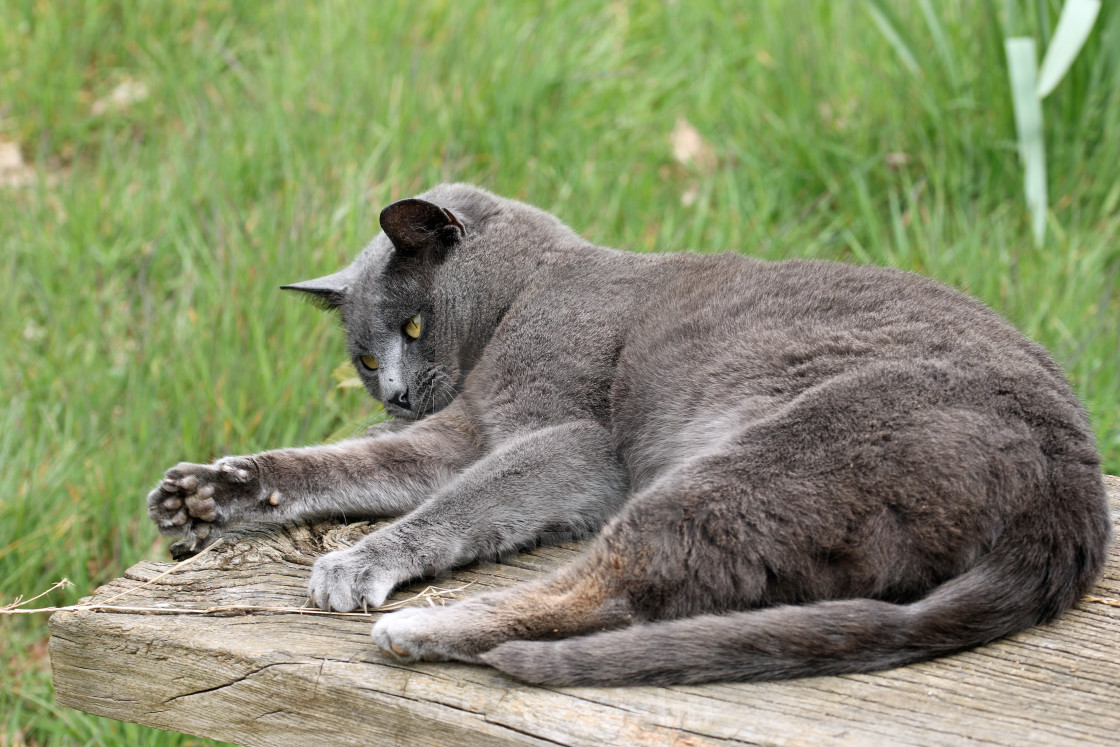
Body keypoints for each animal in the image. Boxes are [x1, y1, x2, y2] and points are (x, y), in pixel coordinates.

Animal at [148, 183, 1111, 685]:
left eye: (413, 326)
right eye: (359, 357)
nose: (391, 389)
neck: (523, 298)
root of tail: (1072, 500)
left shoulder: (575, 444)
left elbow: (460, 504)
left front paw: (357, 560)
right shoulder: (458, 431)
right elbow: (345, 465)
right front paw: (208, 494)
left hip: (763, 459)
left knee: (613, 586)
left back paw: (425, 629)